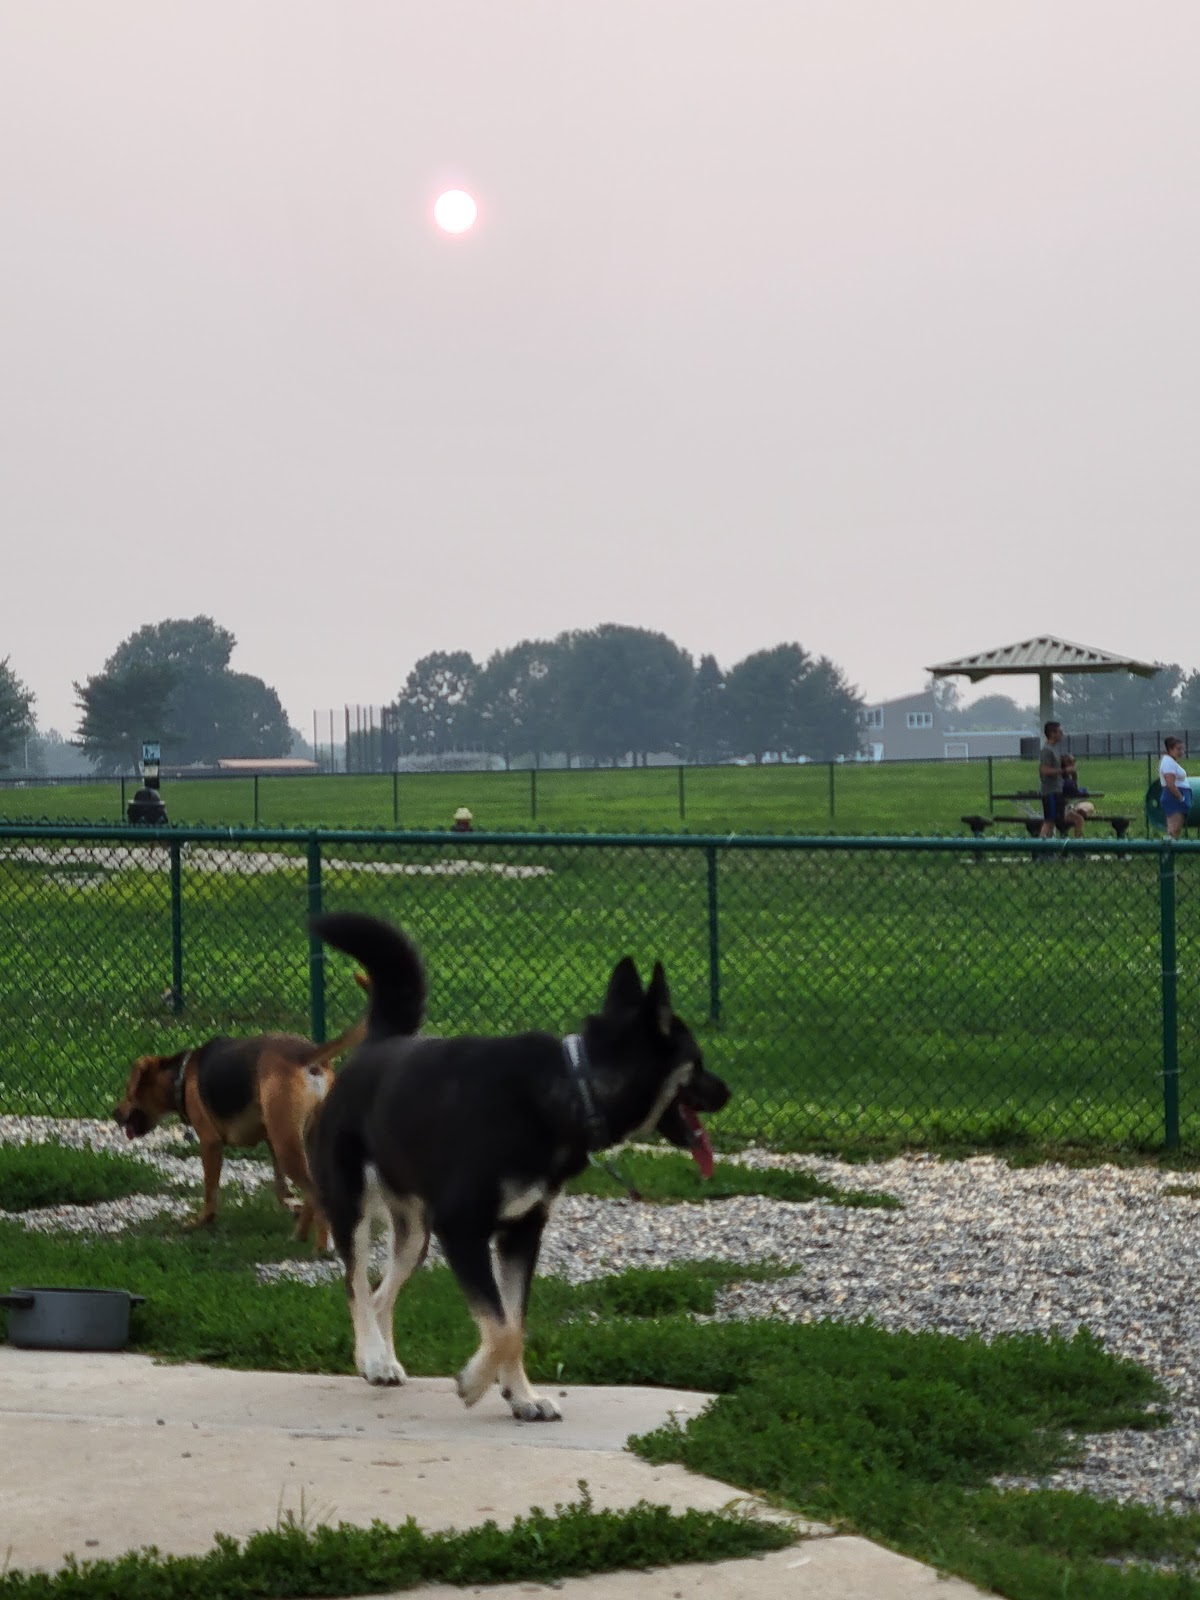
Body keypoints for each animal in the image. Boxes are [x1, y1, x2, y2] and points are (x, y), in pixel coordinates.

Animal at [115, 998, 366, 1248]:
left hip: (287, 1147)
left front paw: (201, 1221)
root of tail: (308, 1055)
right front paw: (291, 1206)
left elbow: (210, 1191)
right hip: (300, 1142)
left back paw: (322, 1245)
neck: (181, 1076)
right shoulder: (271, 1140)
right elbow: (281, 1189)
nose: (114, 1113)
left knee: (316, 1194)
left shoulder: (210, 1142)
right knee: (314, 1191)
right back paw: (300, 1235)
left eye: (128, 1091)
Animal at [305, 915, 732, 1427]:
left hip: (414, 1232)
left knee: (379, 1292)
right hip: (352, 1203)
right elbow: (503, 1327)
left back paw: (385, 1362)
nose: (728, 1092)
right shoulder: (462, 1227)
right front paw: (473, 1383)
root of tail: (377, 1042)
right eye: (697, 1063)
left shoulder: (521, 1232)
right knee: (354, 1284)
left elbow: (514, 1323)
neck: (575, 1088)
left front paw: (522, 1396)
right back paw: (371, 1356)